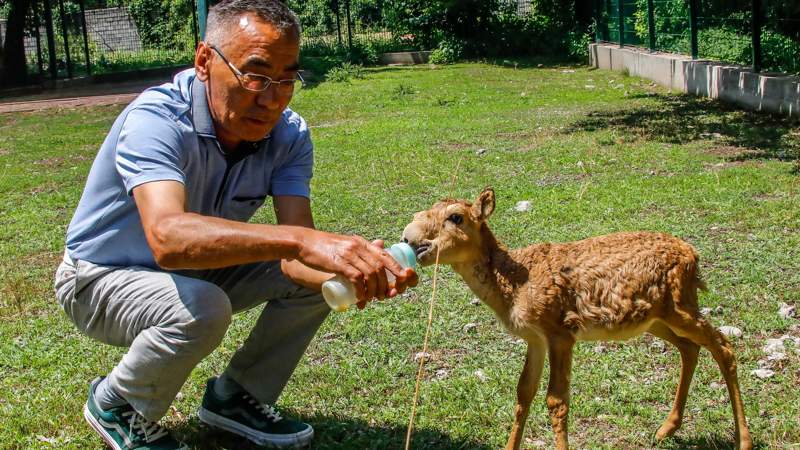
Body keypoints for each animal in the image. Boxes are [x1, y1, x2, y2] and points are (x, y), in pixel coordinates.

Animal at [404, 187, 752, 450]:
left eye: (455, 217)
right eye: (423, 212)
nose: (410, 239)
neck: (515, 284)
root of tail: (693, 255)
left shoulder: (561, 332)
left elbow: (556, 400)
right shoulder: (534, 338)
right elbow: (524, 392)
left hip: (679, 307)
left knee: (723, 346)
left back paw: (743, 441)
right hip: (655, 319)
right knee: (690, 348)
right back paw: (666, 429)